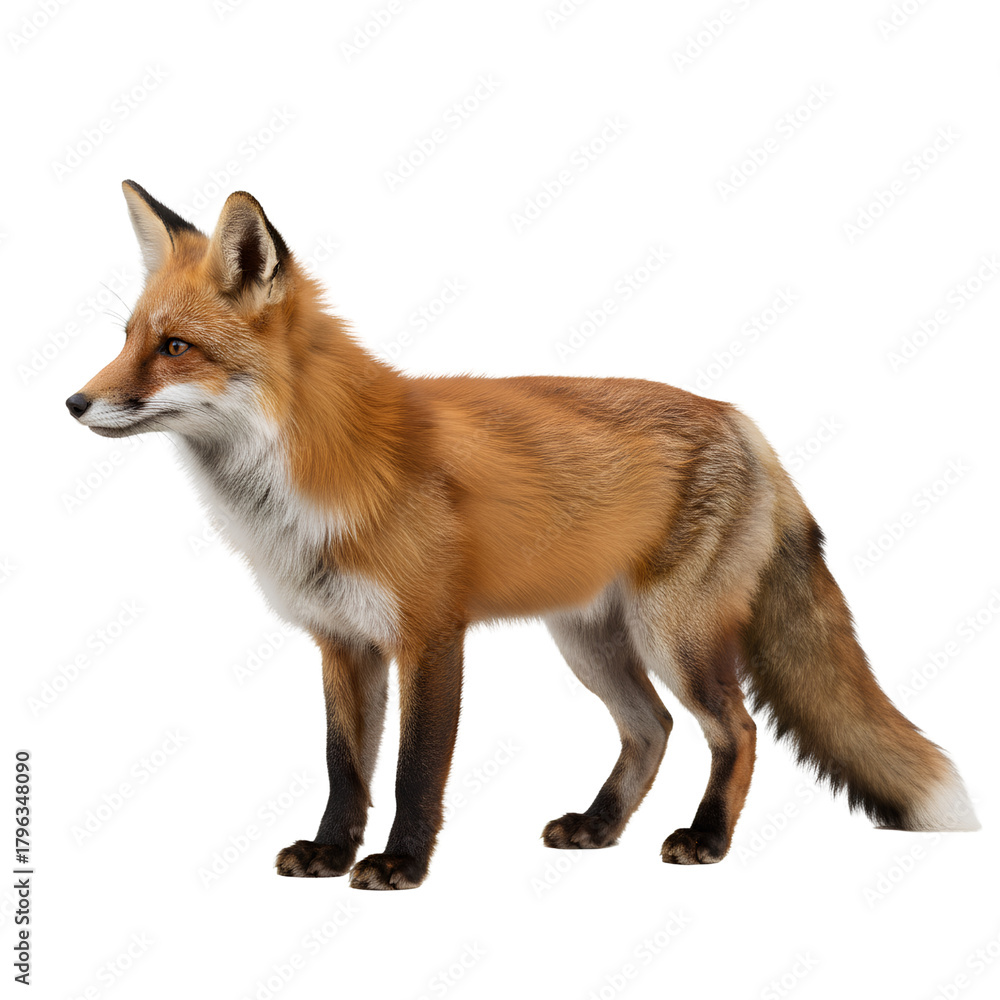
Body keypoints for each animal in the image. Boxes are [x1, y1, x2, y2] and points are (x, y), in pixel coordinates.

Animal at [67, 180, 979, 889]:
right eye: (126, 340)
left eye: (174, 347)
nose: (74, 403)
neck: (309, 477)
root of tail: (742, 421)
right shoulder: (341, 642)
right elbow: (344, 767)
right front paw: (329, 855)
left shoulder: (430, 634)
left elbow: (415, 769)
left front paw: (400, 867)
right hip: (589, 642)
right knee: (652, 729)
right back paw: (599, 826)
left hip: (673, 636)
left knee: (737, 730)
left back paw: (707, 838)